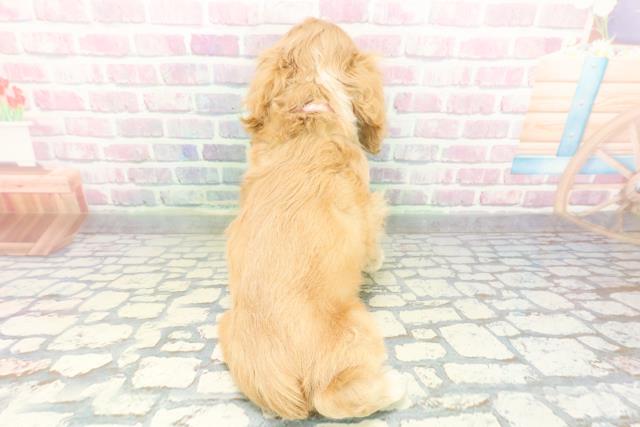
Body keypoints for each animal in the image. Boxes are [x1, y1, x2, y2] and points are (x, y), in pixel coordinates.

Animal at [219, 18, 406, 420]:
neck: (309, 109)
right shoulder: (367, 208)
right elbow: (373, 243)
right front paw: (376, 264)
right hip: (357, 330)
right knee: (335, 397)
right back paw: (393, 389)